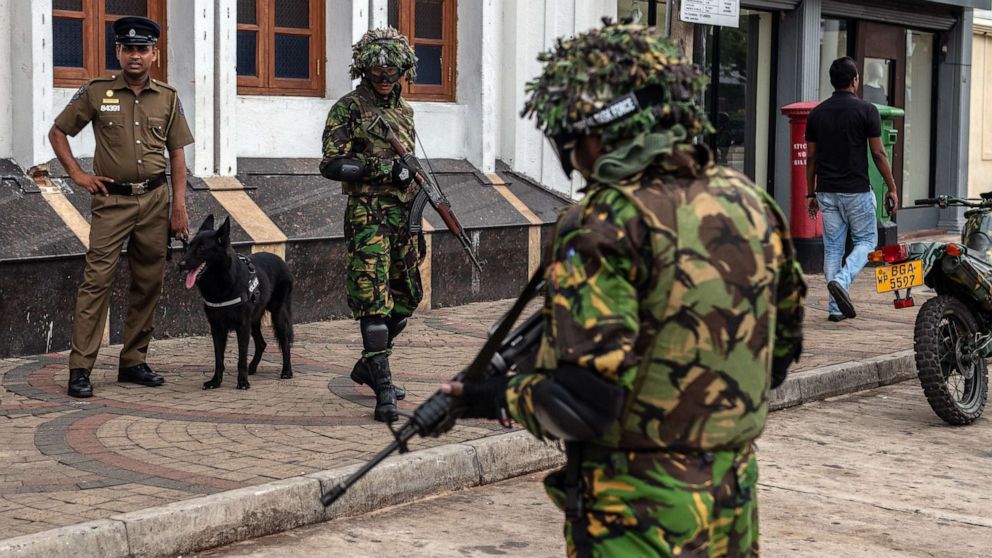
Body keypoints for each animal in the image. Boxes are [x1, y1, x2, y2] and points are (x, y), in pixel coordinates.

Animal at [177, 217, 292, 392]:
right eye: (189, 246)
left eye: (202, 248)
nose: (180, 264)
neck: (221, 282)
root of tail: (281, 260)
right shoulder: (217, 328)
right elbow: (219, 359)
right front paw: (215, 381)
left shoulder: (242, 326)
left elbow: (241, 358)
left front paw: (242, 382)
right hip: (254, 321)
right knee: (262, 344)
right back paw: (253, 368)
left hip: (277, 316)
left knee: (285, 343)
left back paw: (286, 371)